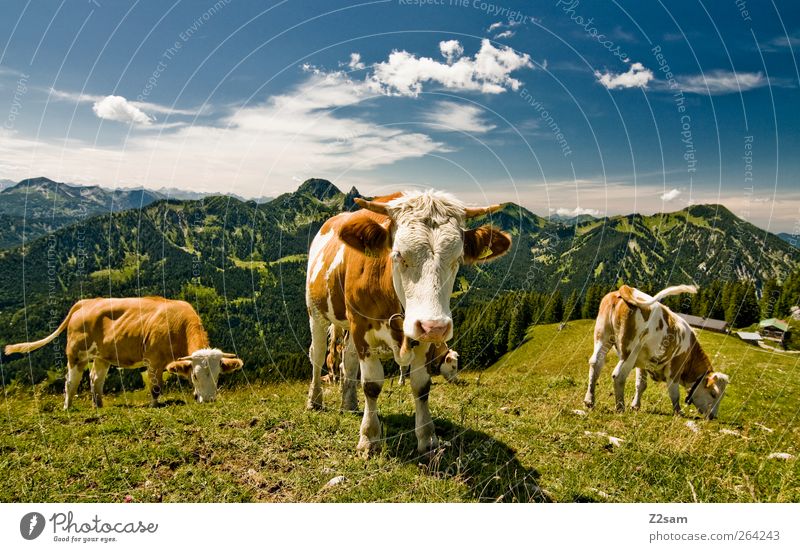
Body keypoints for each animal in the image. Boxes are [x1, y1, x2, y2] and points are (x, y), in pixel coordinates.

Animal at [3, 298, 244, 410]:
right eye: (195, 375)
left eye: (218, 375)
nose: (210, 400)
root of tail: (86, 302)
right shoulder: (153, 360)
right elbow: (156, 387)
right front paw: (154, 405)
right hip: (76, 353)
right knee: (71, 381)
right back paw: (67, 406)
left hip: (101, 356)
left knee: (95, 379)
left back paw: (98, 405)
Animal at [304, 190, 510, 452]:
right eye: (398, 255)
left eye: (457, 259)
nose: (437, 327)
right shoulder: (362, 327)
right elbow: (372, 385)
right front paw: (369, 438)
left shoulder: (421, 336)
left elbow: (421, 386)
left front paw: (428, 439)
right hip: (316, 312)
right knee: (318, 355)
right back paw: (315, 401)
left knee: (347, 360)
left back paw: (348, 403)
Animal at [580, 284, 732, 418]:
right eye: (713, 394)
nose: (713, 416)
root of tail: (627, 289)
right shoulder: (675, 367)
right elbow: (674, 392)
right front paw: (678, 412)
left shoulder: (642, 362)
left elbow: (641, 385)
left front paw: (635, 406)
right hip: (629, 351)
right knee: (618, 375)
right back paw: (620, 408)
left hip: (602, 336)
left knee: (596, 363)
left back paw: (589, 401)